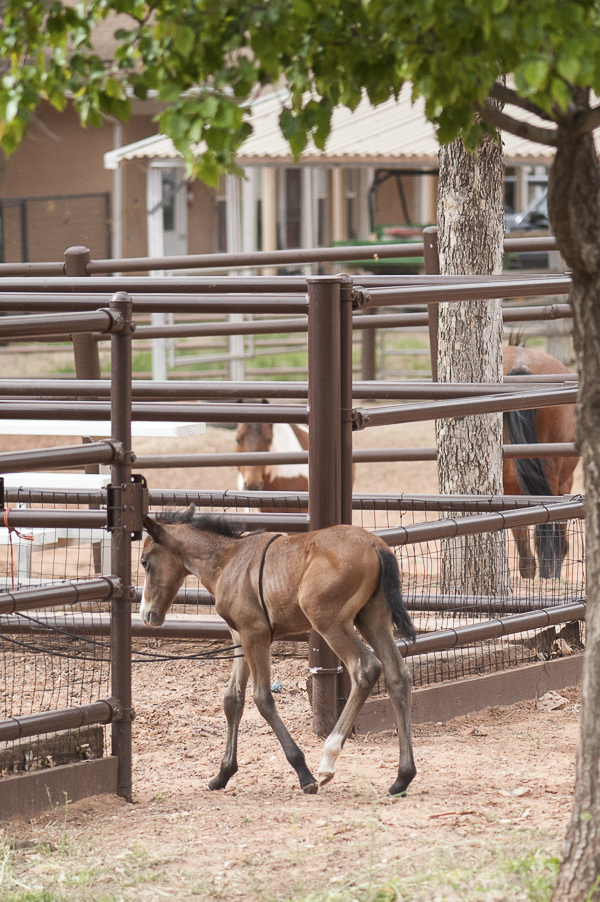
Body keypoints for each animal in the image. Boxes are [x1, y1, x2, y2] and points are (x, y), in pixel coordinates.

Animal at [139, 508, 418, 800]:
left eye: (145, 562)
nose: (147, 614)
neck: (227, 560)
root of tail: (376, 545)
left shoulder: (256, 634)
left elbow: (262, 698)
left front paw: (304, 774)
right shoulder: (240, 636)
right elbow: (232, 699)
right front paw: (222, 774)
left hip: (330, 622)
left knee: (365, 669)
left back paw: (327, 762)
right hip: (372, 618)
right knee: (398, 676)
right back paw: (402, 778)